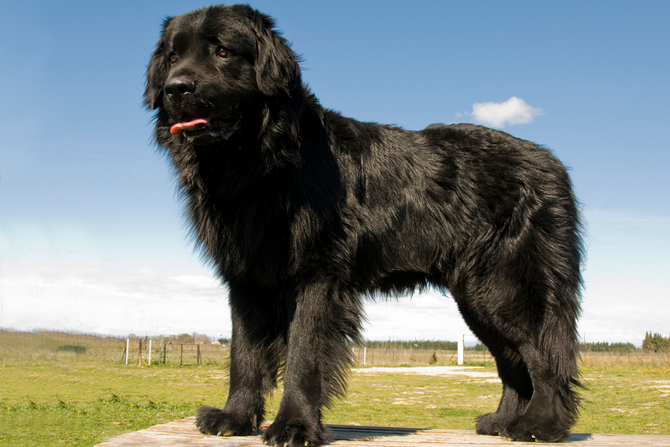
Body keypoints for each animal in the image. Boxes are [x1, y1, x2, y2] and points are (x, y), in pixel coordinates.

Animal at [146, 4, 584, 447]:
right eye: (172, 57)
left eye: (222, 51)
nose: (175, 88)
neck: (259, 163)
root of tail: (552, 164)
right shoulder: (247, 279)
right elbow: (244, 355)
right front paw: (234, 418)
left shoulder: (317, 276)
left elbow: (303, 355)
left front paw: (293, 426)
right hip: (476, 297)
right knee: (512, 361)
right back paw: (502, 423)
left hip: (505, 287)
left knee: (544, 355)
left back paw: (540, 425)